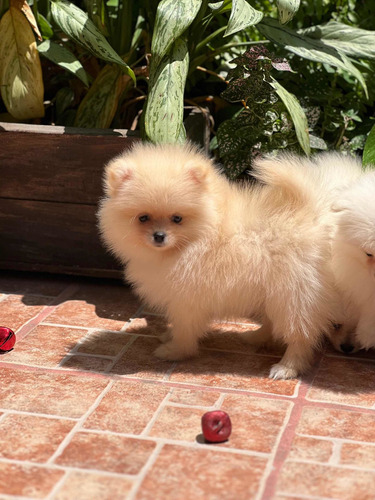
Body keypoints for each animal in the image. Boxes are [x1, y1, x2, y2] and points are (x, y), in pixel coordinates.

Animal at [98, 144, 342, 378]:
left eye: (177, 218)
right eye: (143, 218)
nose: (159, 236)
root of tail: (311, 217)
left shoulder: (187, 300)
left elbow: (185, 329)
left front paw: (175, 350)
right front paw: (168, 336)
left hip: (293, 295)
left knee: (301, 334)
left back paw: (287, 367)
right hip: (274, 294)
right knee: (272, 323)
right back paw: (256, 337)